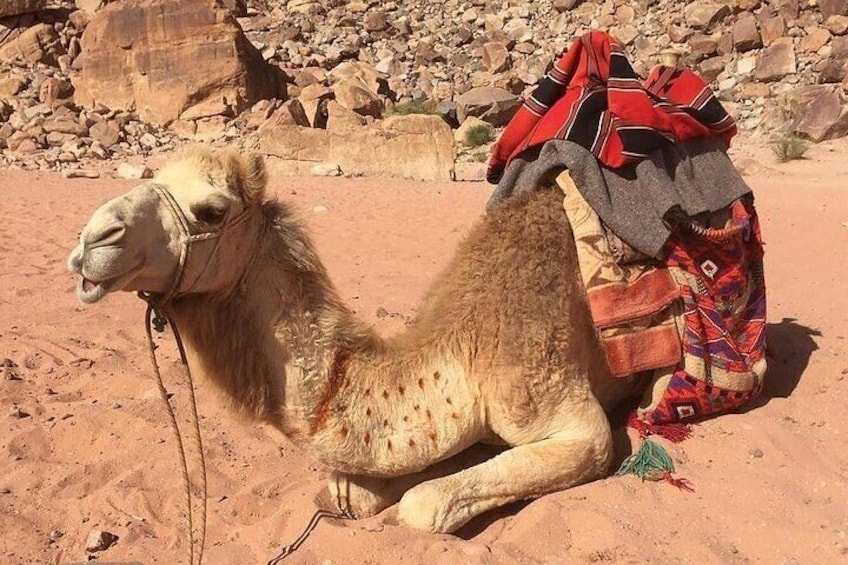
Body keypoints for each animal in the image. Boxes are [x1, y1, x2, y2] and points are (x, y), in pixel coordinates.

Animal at [68, 147, 648, 532]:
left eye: (211, 210)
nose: (92, 240)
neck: (460, 354)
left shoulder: (563, 413)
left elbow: (423, 505)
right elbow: (349, 491)